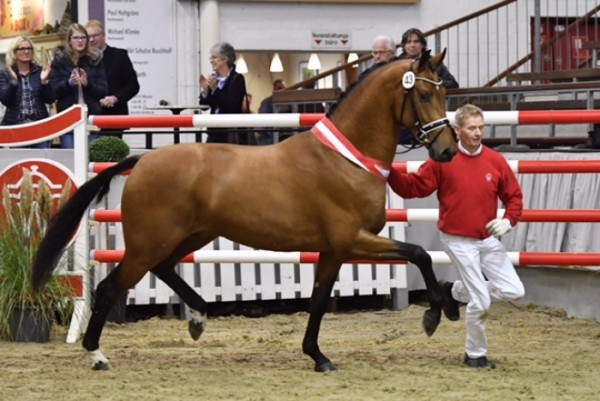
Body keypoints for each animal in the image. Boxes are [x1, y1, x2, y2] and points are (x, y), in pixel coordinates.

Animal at [34, 50, 460, 372]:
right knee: (110, 287)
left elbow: (319, 300)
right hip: (148, 243)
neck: (345, 158)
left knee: (165, 269)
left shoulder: (332, 250)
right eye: (424, 96)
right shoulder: (353, 240)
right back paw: (97, 353)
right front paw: (435, 314)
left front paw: (317, 355)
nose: (447, 151)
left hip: (189, 236)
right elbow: (419, 254)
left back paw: (198, 317)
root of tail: (142, 161)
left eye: (444, 94)